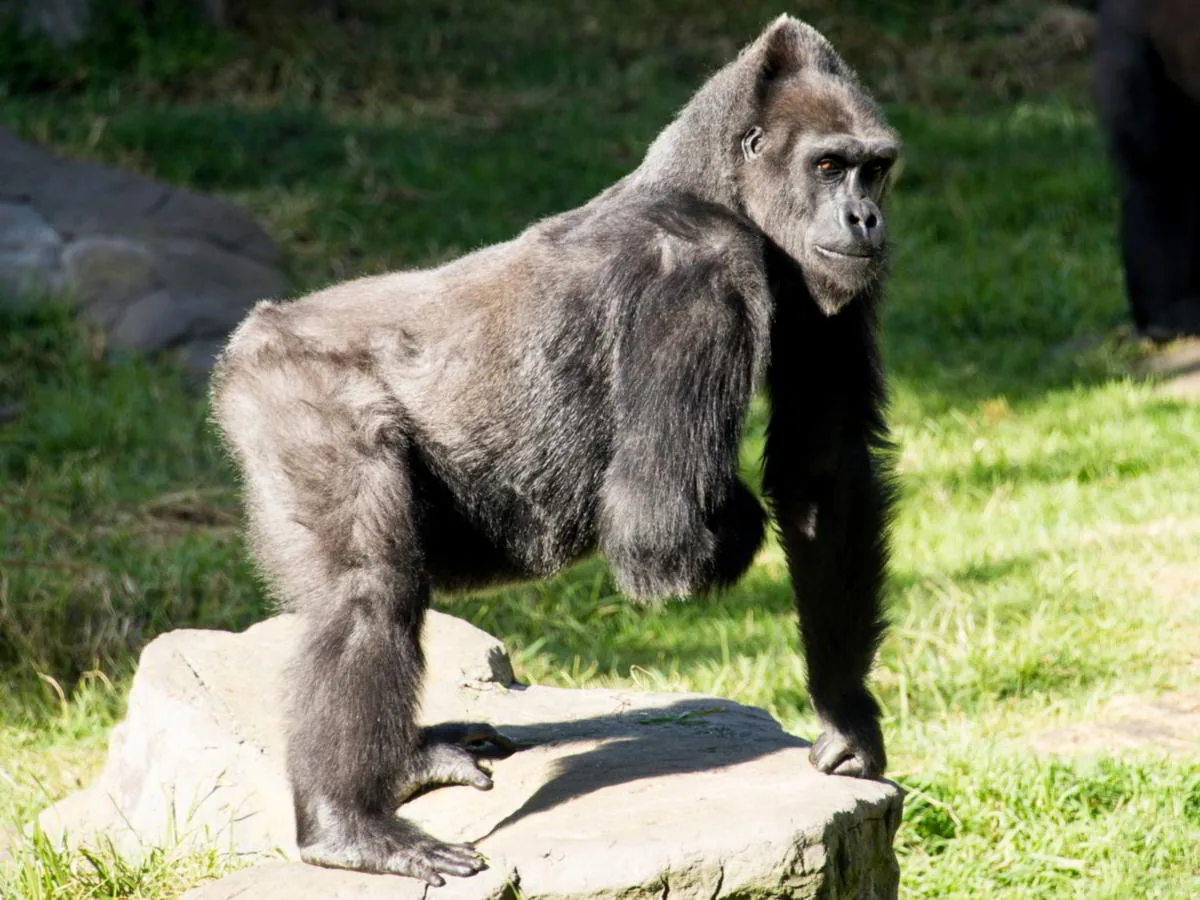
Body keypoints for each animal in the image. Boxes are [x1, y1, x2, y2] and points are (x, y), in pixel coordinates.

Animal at [212, 14, 900, 884]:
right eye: (828, 165)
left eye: (876, 169)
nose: (865, 220)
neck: (711, 187)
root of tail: (251, 334)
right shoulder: (699, 269)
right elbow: (662, 530)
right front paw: (734, 519)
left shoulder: (829, 284)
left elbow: (822, 474)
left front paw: (847, 715)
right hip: (289, 390)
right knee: (367, 590)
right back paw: (348, 827)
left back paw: (404, 766)